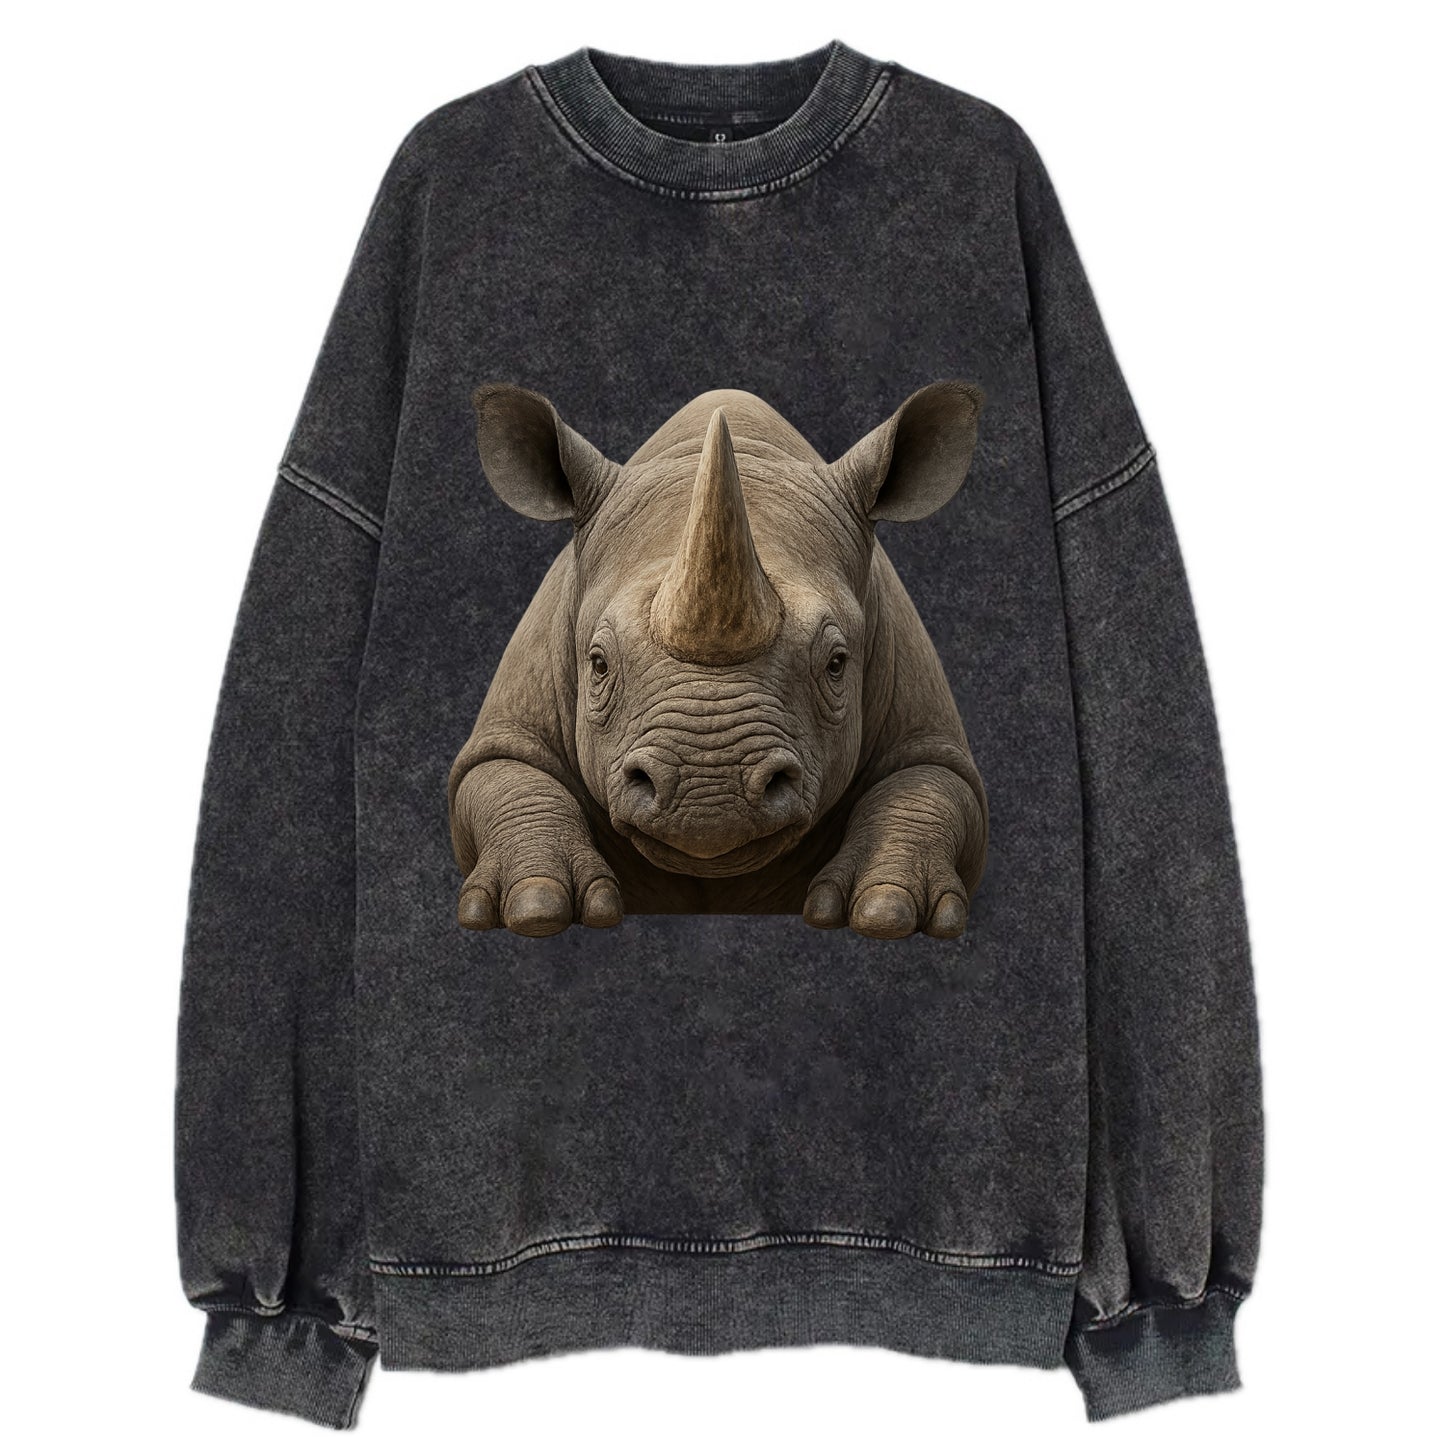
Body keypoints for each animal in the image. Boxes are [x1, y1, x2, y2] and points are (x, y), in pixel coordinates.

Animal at [448, 381, 989, 941]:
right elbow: (504, 774)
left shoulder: (924, 724)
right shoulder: (511, 722)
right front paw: (536, 906)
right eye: (597, 664)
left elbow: (929, 784)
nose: (709, 796)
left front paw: (887, 910)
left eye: (837, 664)